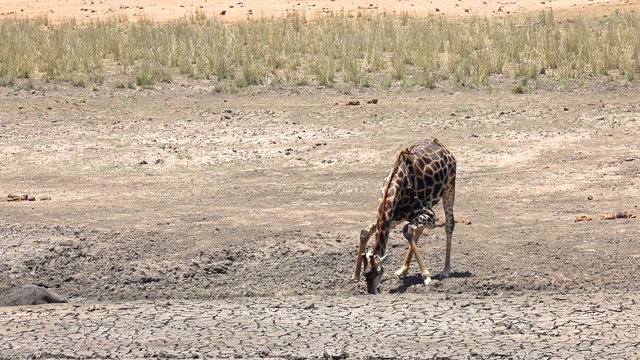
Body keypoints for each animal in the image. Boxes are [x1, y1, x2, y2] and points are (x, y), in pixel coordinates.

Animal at [352, 136, 458, 294]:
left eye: (378, 272)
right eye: (366, 274)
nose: (372, 291)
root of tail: (439, 143)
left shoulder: (429, 214)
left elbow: (407, 230)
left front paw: (427, 277)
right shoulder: (393, 217)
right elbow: (365, 231)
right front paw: (355, 275)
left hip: (449, 187)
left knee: (448, 225)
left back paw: (446, 270)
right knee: (418, 228)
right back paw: (402, 270)